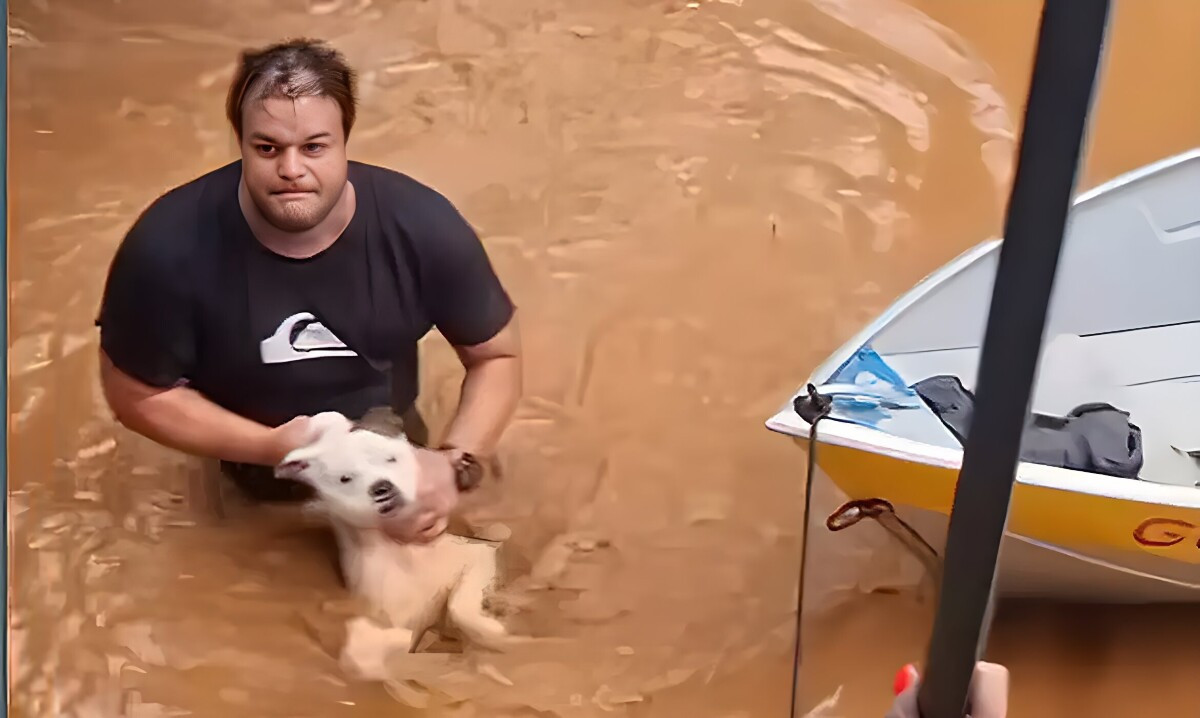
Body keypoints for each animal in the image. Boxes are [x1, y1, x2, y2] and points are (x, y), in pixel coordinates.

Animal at [278, 413, 523, 681]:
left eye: (390, 458)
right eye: (345, 478)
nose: (382, 486)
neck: (401, 556)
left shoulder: (478, 557)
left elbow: (460, 605)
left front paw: (496, 633)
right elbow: (369, 653)